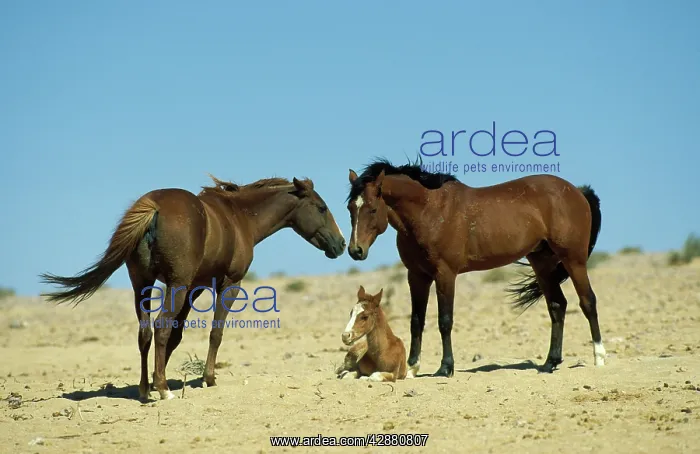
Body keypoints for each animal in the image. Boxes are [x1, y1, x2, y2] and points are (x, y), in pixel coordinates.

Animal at [39, 175, 346, 401]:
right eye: (321, 208)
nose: (341, 244)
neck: (239, 217)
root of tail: (154, 207)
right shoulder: (228, 285)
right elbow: (215, 333)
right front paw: (207, 379)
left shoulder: (194, 288)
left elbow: (177, 336)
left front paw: (158, 377)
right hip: (174, 285)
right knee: (160, 327)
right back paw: (163, 391)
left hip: (143, 284)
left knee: (145, 333)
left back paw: (145, 389)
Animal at [344, 158, 604, 378]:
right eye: (350, 208)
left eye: (372, 208)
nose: (355, 250)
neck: (429, 211)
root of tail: (576, 191)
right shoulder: (416, 276)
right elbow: (416, 321)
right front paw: (411, 368)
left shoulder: (445, 274)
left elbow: (445, 320)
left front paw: (445, 367)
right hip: (542, 263)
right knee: (557, 306)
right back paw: (550, 363)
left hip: (574, 260)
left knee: (588, 301)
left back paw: (599, 358)